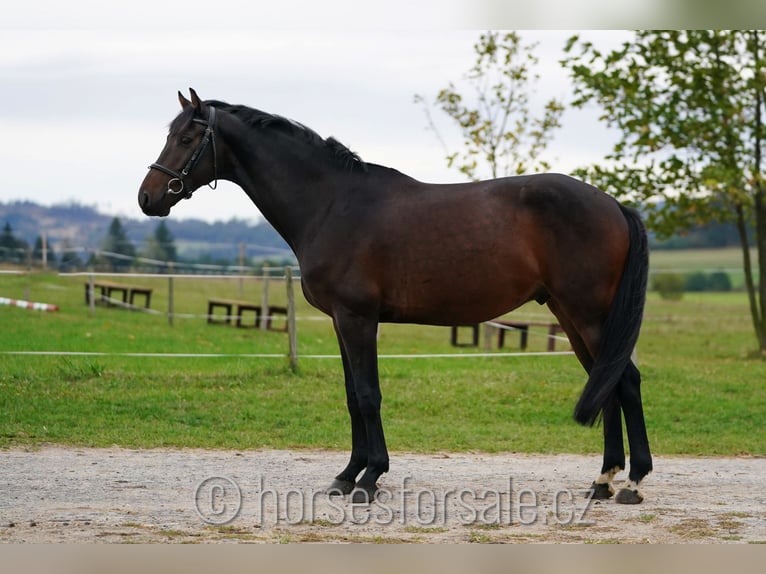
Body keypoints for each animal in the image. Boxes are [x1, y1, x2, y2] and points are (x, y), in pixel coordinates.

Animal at [138, 89, 656, 504]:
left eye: (188, 138)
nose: (148, 197)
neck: (332, 204)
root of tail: (613, 204)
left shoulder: (358, 318)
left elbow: (369, 395)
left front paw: (370, 479)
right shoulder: (340, 321)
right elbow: (352, 396)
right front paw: (347, 475)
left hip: (589, 314)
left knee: (626, 382)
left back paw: (632, 483)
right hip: (571, 315)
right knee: (607, 382)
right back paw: (603, 481)